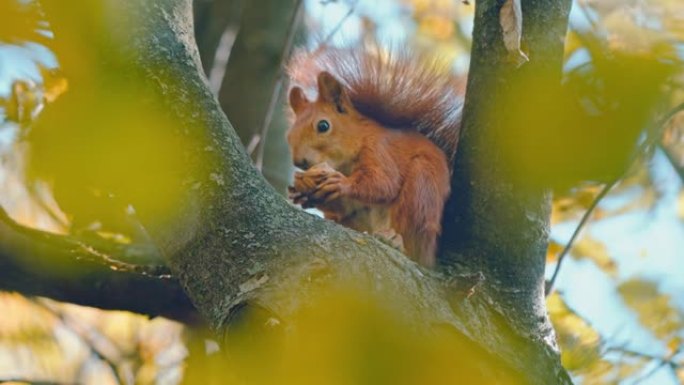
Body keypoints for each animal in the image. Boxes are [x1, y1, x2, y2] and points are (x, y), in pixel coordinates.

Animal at [284, 44, 464, 268]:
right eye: (289, 136)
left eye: (323, 126)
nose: (299, 162)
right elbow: (343, 205)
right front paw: (300, 188)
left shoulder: (380, 150)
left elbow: (384, 182)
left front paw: (342, 183)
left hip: (422, 187)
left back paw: (395, 240)